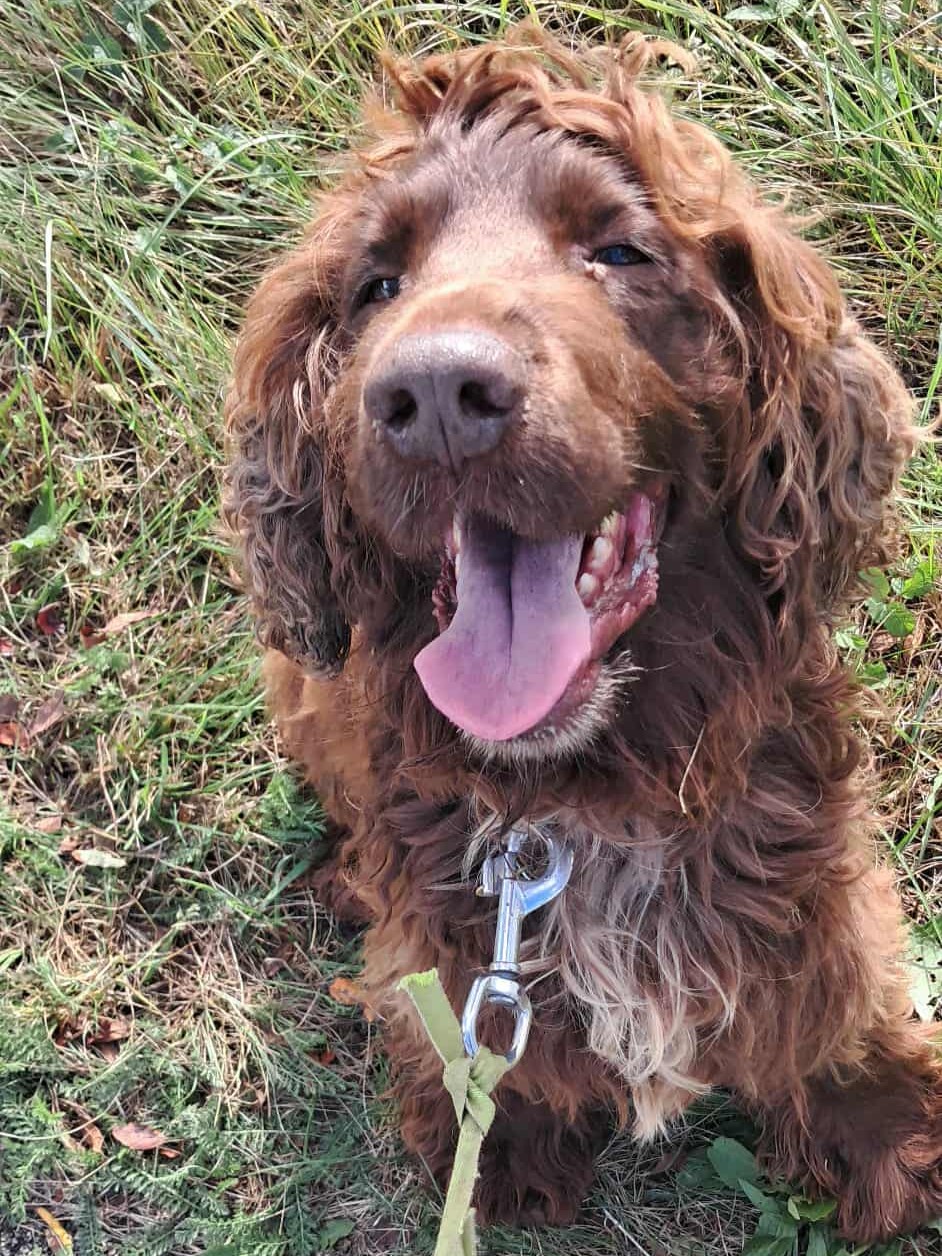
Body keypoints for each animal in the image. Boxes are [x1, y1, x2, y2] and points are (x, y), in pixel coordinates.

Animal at [223, 31, 940, 1242]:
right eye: (377, 285)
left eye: (618, 250)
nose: (436, 393)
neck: (583, 799)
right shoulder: (456, 929)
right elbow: (456, 1018)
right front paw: (499, 1140)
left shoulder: (804, 862)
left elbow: (836, 989)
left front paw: (884, 1126)